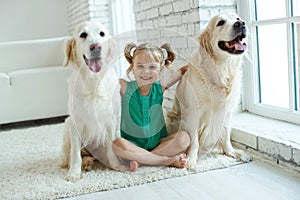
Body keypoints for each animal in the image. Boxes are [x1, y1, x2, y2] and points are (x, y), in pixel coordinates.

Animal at [60, 21, 126, 180]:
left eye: (102, 33)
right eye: (83, 35)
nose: (96, 46)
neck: (93, 81)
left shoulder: (110, 120)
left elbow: (111, 147)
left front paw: (116, 165)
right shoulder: (75, 122)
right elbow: (75, 153)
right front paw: (74, 172)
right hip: (67, 124)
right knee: (69, 157)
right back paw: (85, 162)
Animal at [169, 13, 251, 168]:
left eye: (237, 18)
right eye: (220, 22)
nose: (241, 24)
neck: (222, 68)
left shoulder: (227, 111)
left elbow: (226, 134)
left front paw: (231, 152)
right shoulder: (194, 112)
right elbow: (194, 140)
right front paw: (191, 159)